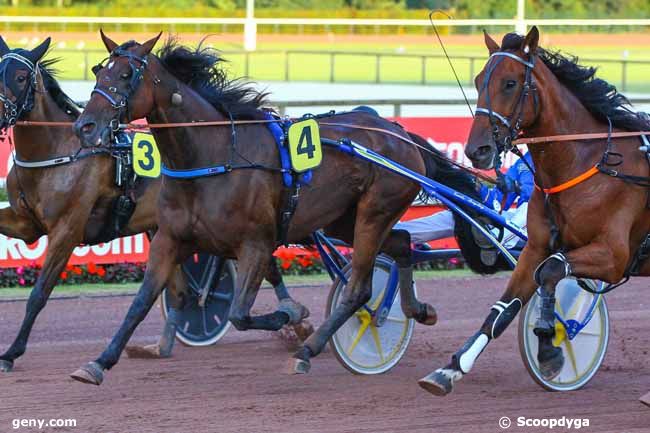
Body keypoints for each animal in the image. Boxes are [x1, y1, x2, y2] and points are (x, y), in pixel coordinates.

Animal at [0, 36, 308, 372]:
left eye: (20, 77)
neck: (57, 153)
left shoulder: (67, 229)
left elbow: (39, 293)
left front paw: (11, 353)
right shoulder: (25, 222)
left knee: (262, 268)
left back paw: (298, 321)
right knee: (183, 292)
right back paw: (162, 346)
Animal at [66, 33, 470, 384]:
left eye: (126, 75)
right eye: (99, 72)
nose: (84, 126)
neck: (213, 157)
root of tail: (400, 133)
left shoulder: (256, 243)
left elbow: (238, 313)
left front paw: (290, 314)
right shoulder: (170, 239)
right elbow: (140, 302)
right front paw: (98, 363)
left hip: (374, 212)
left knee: (358, 288)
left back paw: (308, 350)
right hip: (344, 220)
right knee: (402, 243)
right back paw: (418, 310)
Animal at [416, 27, 648, 396]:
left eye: (510, 83)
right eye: (479, 80)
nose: (477, 149)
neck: (589, 162)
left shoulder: (615, 256)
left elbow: (551, 271)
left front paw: (550, 348)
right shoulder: (535, 247)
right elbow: (503, 309)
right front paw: (450, 369)